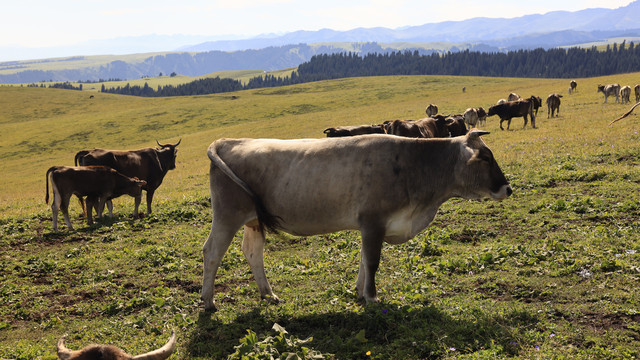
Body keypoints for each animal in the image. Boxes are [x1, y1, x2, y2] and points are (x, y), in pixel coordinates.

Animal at [202, 131, 512, 310]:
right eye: (486, 157)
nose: (507, 188)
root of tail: (227, 141)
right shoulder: (373, 221)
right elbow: (372, 261)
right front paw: (372, 297)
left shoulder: (370, 225)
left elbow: (363, 259)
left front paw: (360, 292)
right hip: (227, 214)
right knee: (212, 252)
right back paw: (208, 302)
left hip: (253, 220)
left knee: (253, 253)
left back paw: (268, 294)